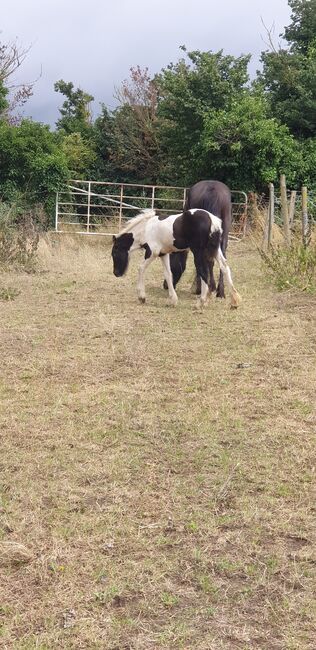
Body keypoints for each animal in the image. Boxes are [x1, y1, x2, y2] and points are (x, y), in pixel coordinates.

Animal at [112, 209, 241, 308]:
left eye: (114, 253)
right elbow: (168, 274)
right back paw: (234, 301)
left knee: (203, 272)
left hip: (198, 252)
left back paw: (200, 303)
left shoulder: (152, 252)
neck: (145, 230)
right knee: (224, 267)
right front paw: (173, 300)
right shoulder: (163, 254)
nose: (116, 273)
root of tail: (213, 221)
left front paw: (141, 296)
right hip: (215, 249)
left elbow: (141, 268)